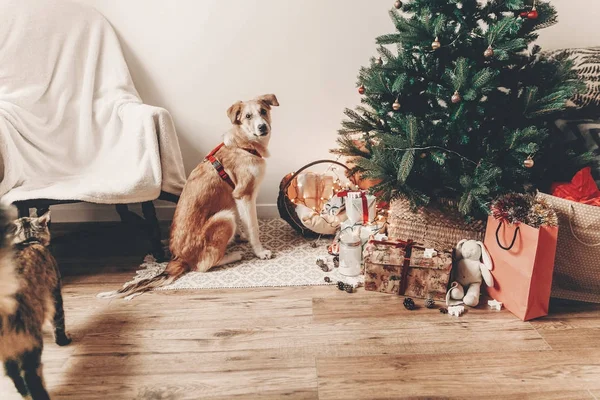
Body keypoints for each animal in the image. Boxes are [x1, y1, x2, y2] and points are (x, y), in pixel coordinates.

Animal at [0, 206, 71, 400]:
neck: (27, 241)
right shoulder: (54, 292)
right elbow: (58, 321)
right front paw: (63, 340)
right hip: (28, 342)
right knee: (30, 375)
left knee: (12, 372)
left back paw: (24, 393)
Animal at [99, 94, 280, 300]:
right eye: (248, 116)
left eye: (263, 112)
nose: (262, 127)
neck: (243, 145)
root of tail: (178, 258)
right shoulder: (245, 195)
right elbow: (253, 227)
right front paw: (259, 251)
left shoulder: (236, 199)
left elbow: (244, 223)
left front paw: (241, 236)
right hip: (224, 217)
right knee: (202, 265)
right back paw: (234, 255)